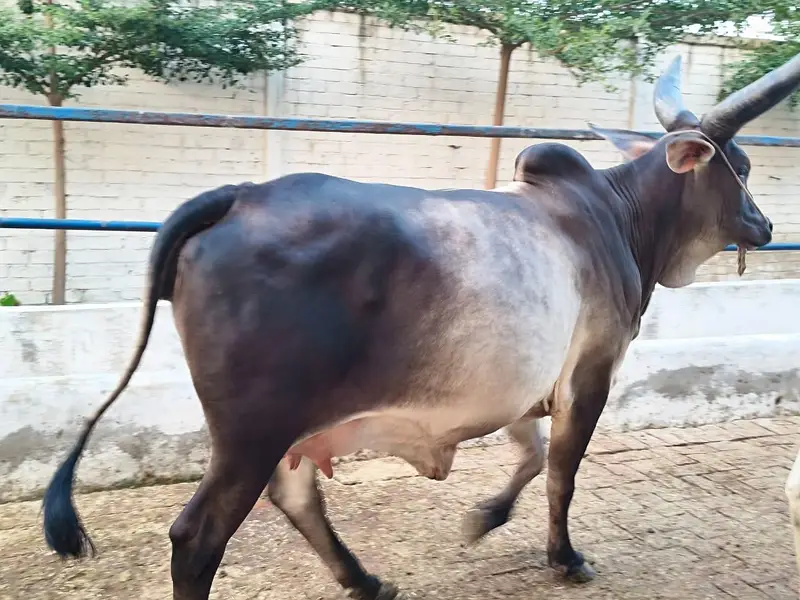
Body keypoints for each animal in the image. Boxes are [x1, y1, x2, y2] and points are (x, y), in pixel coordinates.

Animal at [41, 52, 800, 600]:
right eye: (738, 165)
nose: (765, 226)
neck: (620, 217)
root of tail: (240, 197)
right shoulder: (589, 373)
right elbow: (561, 473)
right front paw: (564, 558)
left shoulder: (519, 386)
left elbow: (529, 457)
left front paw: (484, 518)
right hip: (251, 431)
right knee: (198, 537)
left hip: (277, 430)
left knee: (295, 496)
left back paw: (365, 581)